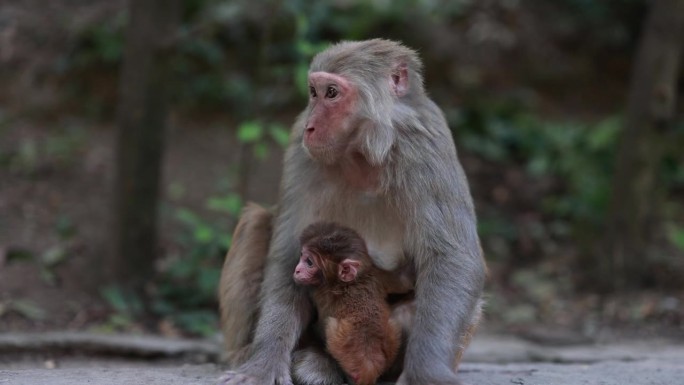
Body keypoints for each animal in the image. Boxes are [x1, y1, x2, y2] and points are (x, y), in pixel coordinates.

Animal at [294, 222, 400, 384]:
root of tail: (369, 367)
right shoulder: (376, 276)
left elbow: (317, 326)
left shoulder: (321, 293)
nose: (297, 270)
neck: (351, 282)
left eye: (309, 262)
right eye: (302, 257)